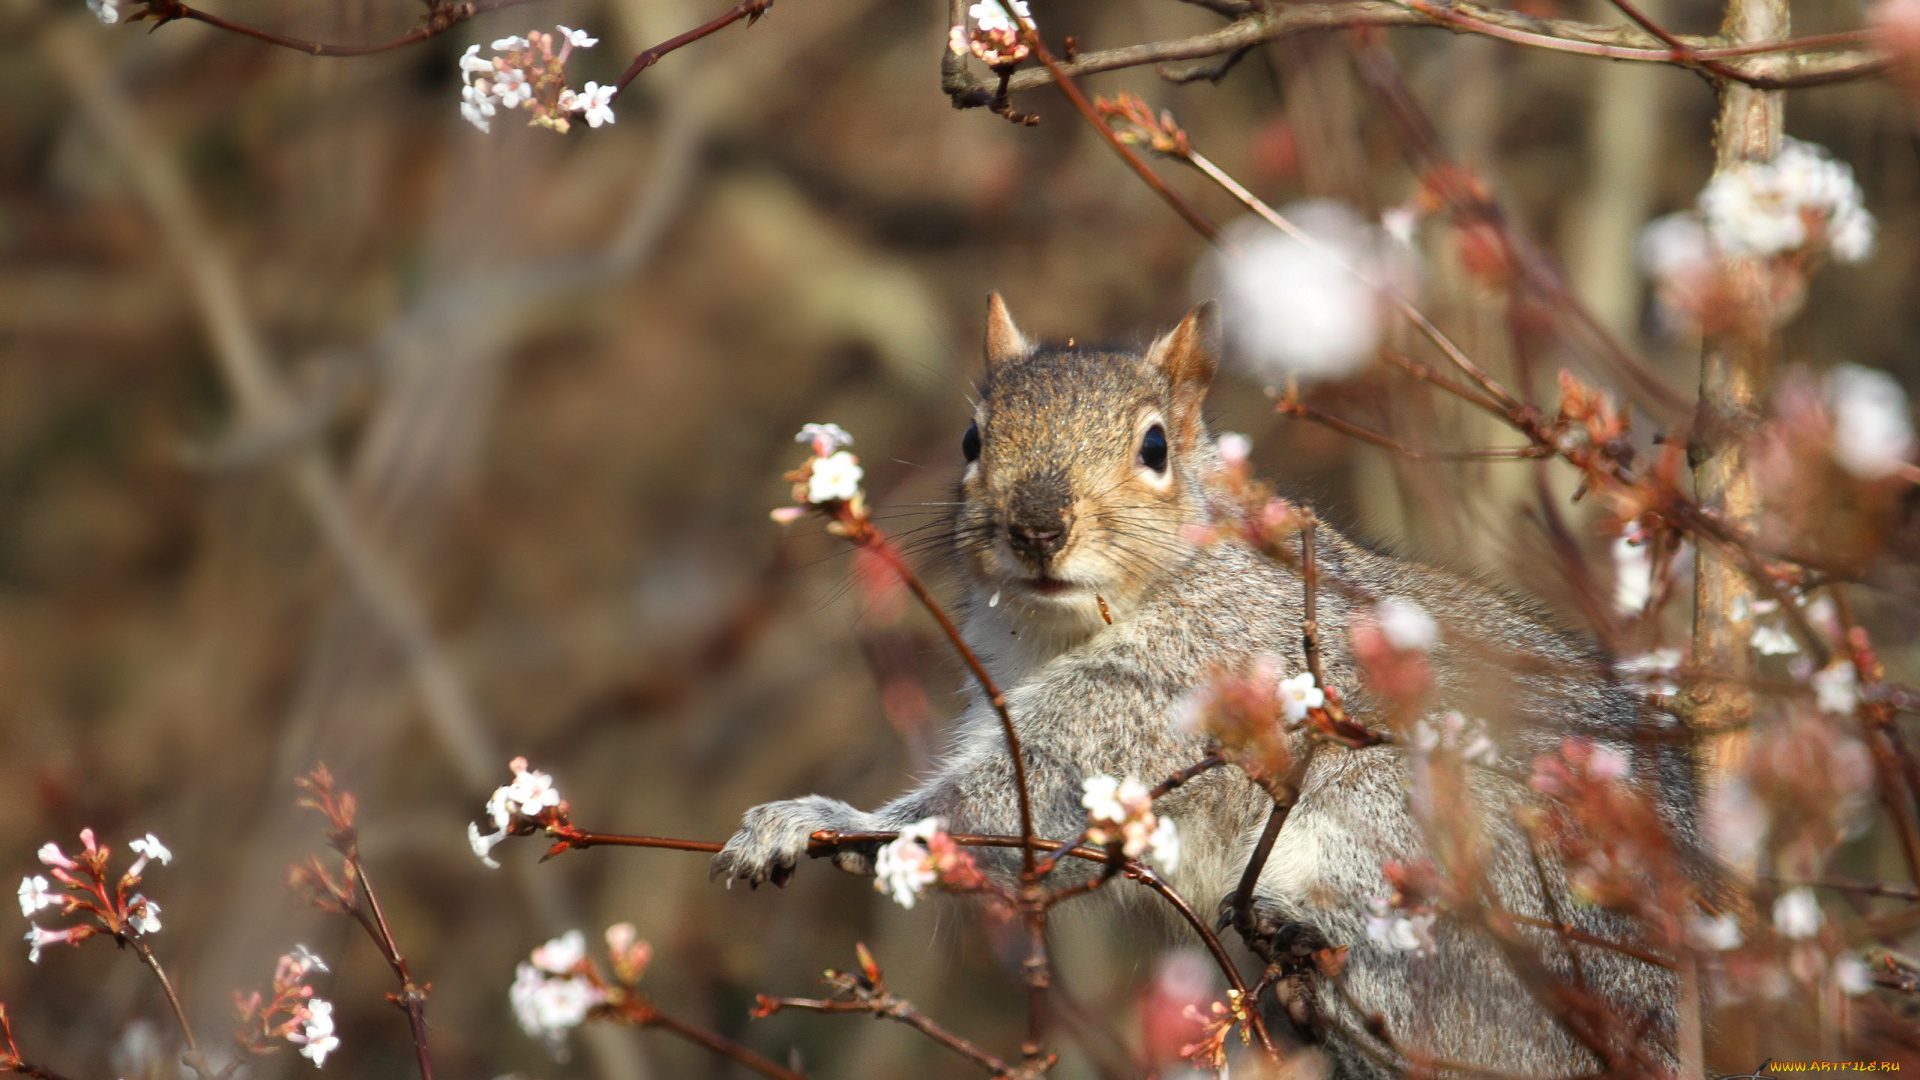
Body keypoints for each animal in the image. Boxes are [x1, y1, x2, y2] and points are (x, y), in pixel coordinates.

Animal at [714, 292, 1704, 1068]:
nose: (1036, 526)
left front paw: (821, 821)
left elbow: (1004, 802)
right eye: (970, 439)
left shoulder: (1156, 697)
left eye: (1155, 448)